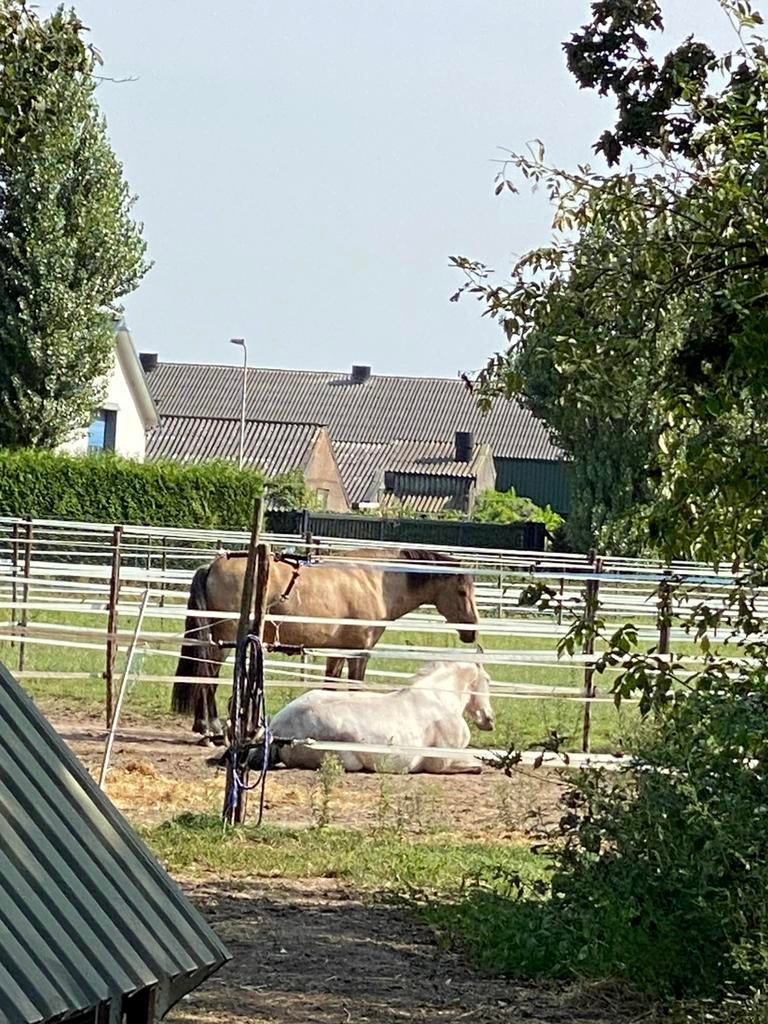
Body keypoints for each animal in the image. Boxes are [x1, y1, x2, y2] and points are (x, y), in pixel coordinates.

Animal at [171, 548, 480, 741]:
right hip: (223, 642)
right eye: (461, 591)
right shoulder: (359, 653)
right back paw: (211, 729)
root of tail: (212, 566)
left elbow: (330, 688)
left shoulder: (338, 652)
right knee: (207, 678)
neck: (374, 582)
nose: (472, 631)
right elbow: (355, 688)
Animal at [267, 661, 494, 774]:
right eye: (488, 680)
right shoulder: (442, 763)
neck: (438, 699)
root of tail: (276, 728)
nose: (489, 720)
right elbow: (477, 764)